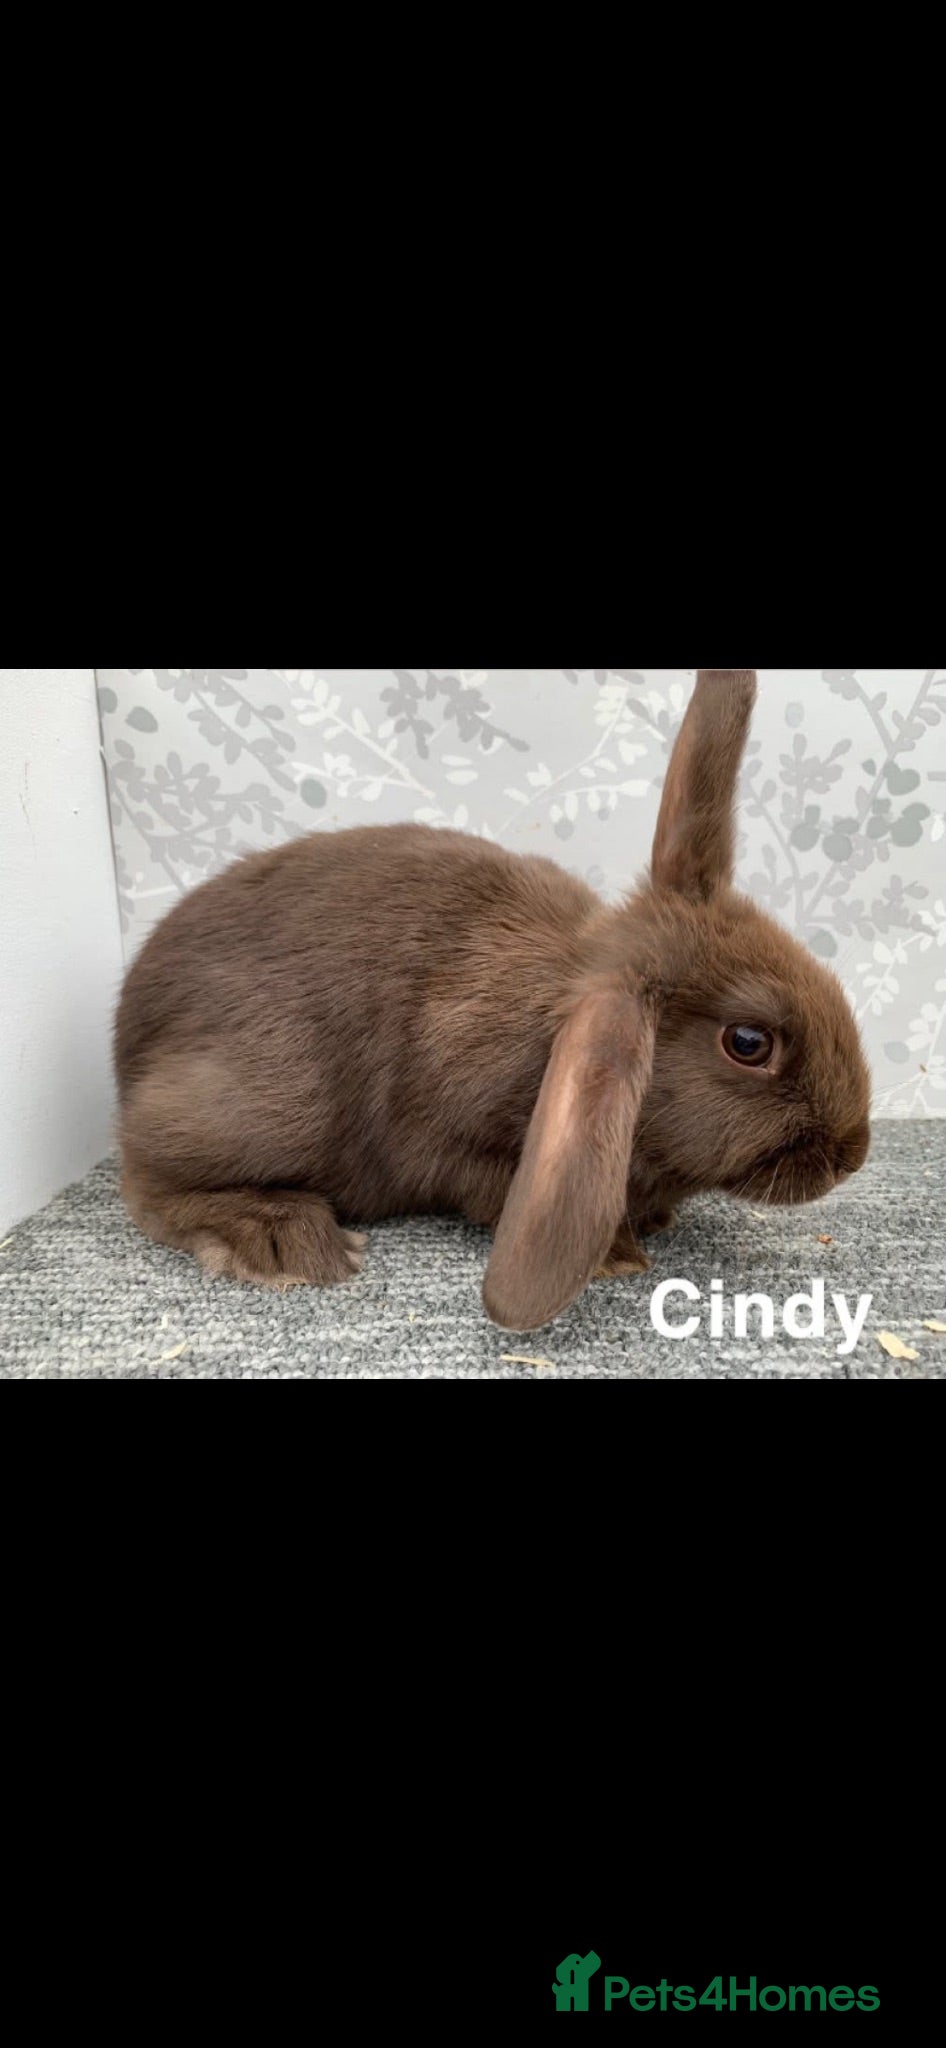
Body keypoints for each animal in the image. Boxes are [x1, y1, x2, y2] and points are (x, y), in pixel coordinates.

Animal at [115, 670, 871, 1331]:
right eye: (749, 1043)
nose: (853, 1154)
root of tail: (126, 1034)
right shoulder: (460, 1134)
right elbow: (488, 1186)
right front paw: (619, 1256)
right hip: (276, 1098)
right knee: (146, 1175)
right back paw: (285, 1242)